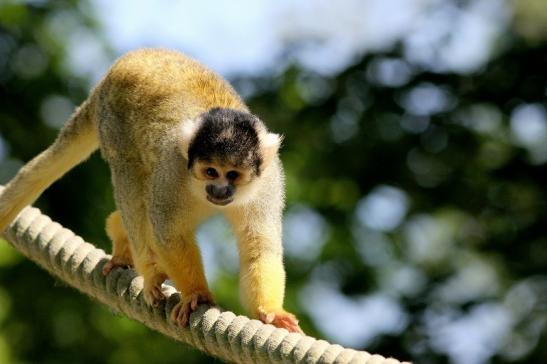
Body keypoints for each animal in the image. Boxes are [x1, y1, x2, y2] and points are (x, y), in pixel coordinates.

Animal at [0, 48, 302, 332]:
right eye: (210, 172)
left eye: (233, 175)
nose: (218, 190)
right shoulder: (172, 169)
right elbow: (169, 234)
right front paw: (196, 294)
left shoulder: (268, 183)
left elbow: (260, 245)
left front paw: (271, 312)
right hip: (114, 122)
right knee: (130, 180)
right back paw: (145, 266)